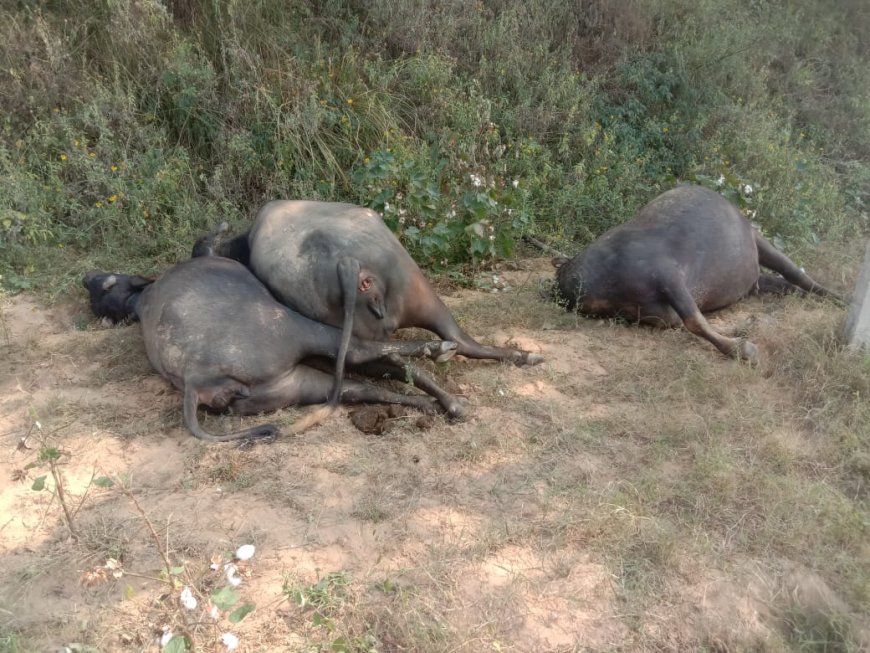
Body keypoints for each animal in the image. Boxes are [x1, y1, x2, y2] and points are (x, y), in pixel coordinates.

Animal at [552, 185, 844, 362]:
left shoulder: (669, 276)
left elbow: (695, 321)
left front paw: (746, 351)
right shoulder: (663, 313)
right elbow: (690, 321)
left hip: (761, 242)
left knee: (797, 275)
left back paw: (840, 299)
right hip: (752, 281)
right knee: (785, 284)